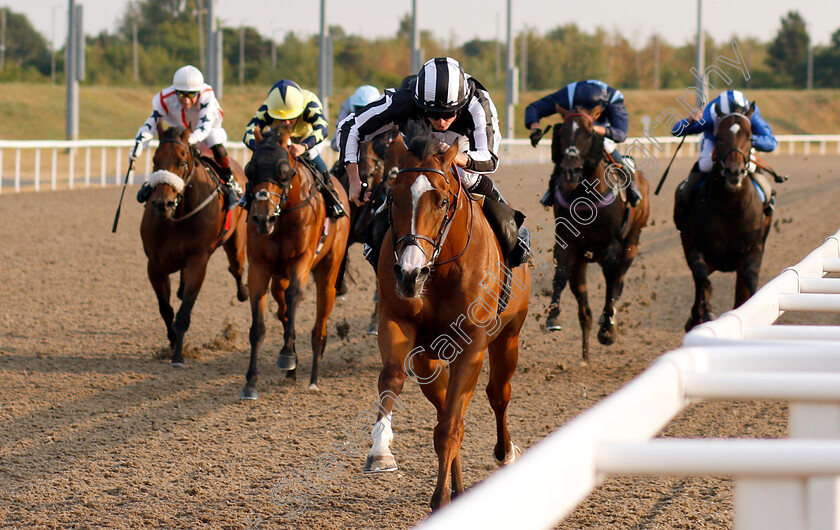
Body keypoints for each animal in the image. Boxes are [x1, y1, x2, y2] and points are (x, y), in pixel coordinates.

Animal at [138, 123, 248, 366]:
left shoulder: (199, 260)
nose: (162, 203)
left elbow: (184, 312)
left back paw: (244, 293)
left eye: (181, 162)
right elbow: (166, 309)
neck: (178, 215)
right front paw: (171, 342)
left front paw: (178, 355)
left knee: (236, 269)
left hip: (237, 243)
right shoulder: (154, 265)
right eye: (155, 161)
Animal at [240, 126, 352, 394]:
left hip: (328, 273)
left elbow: (294, 295)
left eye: (283, 171)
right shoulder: (259, 267)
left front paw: (287, 356)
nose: (263, 218)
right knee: (282, 308)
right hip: (278, 276)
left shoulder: (301, 260)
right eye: (250, 169)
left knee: (319, 325)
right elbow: (258, 326)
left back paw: (313, 377)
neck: (283, 218)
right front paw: (251, 380)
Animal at [364, 119, 528, 508]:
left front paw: (440, 500)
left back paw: (505, 453)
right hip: (430, 356)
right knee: (442, 406)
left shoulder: (473, 345)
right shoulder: (397, 321)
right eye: (393, 197)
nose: (409, 274)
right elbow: (393, 378)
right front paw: (381, 450)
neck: (439, 271)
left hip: (508, 337)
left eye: (441, 200)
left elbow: (451, 427)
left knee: (498, 394)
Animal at [540, 105, 652, 360]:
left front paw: (608, 326)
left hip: (633, 242)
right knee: (584, 309)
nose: (570, 171)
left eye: (590, 133)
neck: (586, 196)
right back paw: (585, 353)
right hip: (582, 262)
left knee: (619, 279)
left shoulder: (613, 244)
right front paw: (553, 317)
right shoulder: (566, 243)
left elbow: (611, 277)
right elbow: (560, 273)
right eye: (562, 133)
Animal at [672, 101, 772, 328]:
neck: (729, 209)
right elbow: (701, 278)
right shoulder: (695, 247)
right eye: (719, 137)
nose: (733, 172)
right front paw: (704, 313)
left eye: (750, 136)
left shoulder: (754, 248)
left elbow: (750, 282)